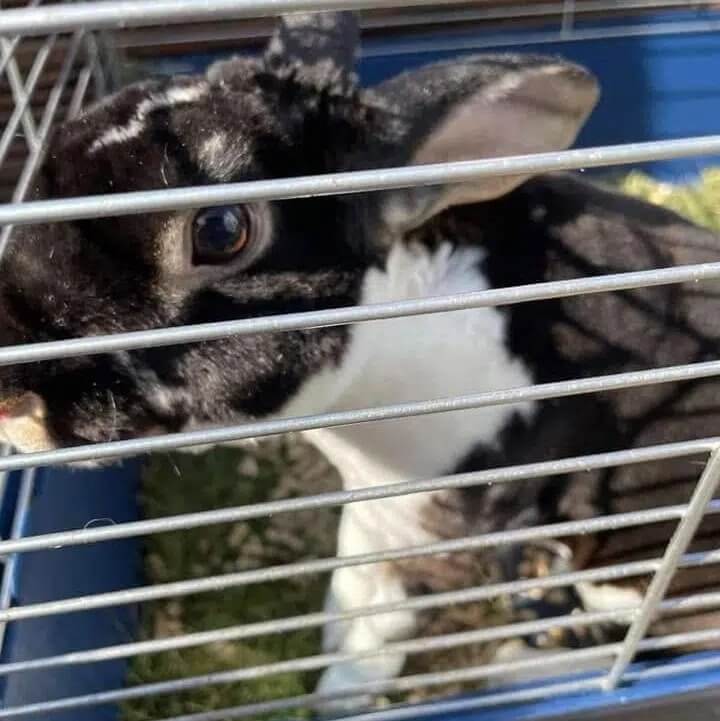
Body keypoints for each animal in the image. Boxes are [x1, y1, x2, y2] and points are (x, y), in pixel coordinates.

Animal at [3, 9, 720, 714]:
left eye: (220, 230)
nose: (13, 398)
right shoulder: (373, 511)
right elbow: (352, 590)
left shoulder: (433, 527)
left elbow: (379, 623)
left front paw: (338, 698)